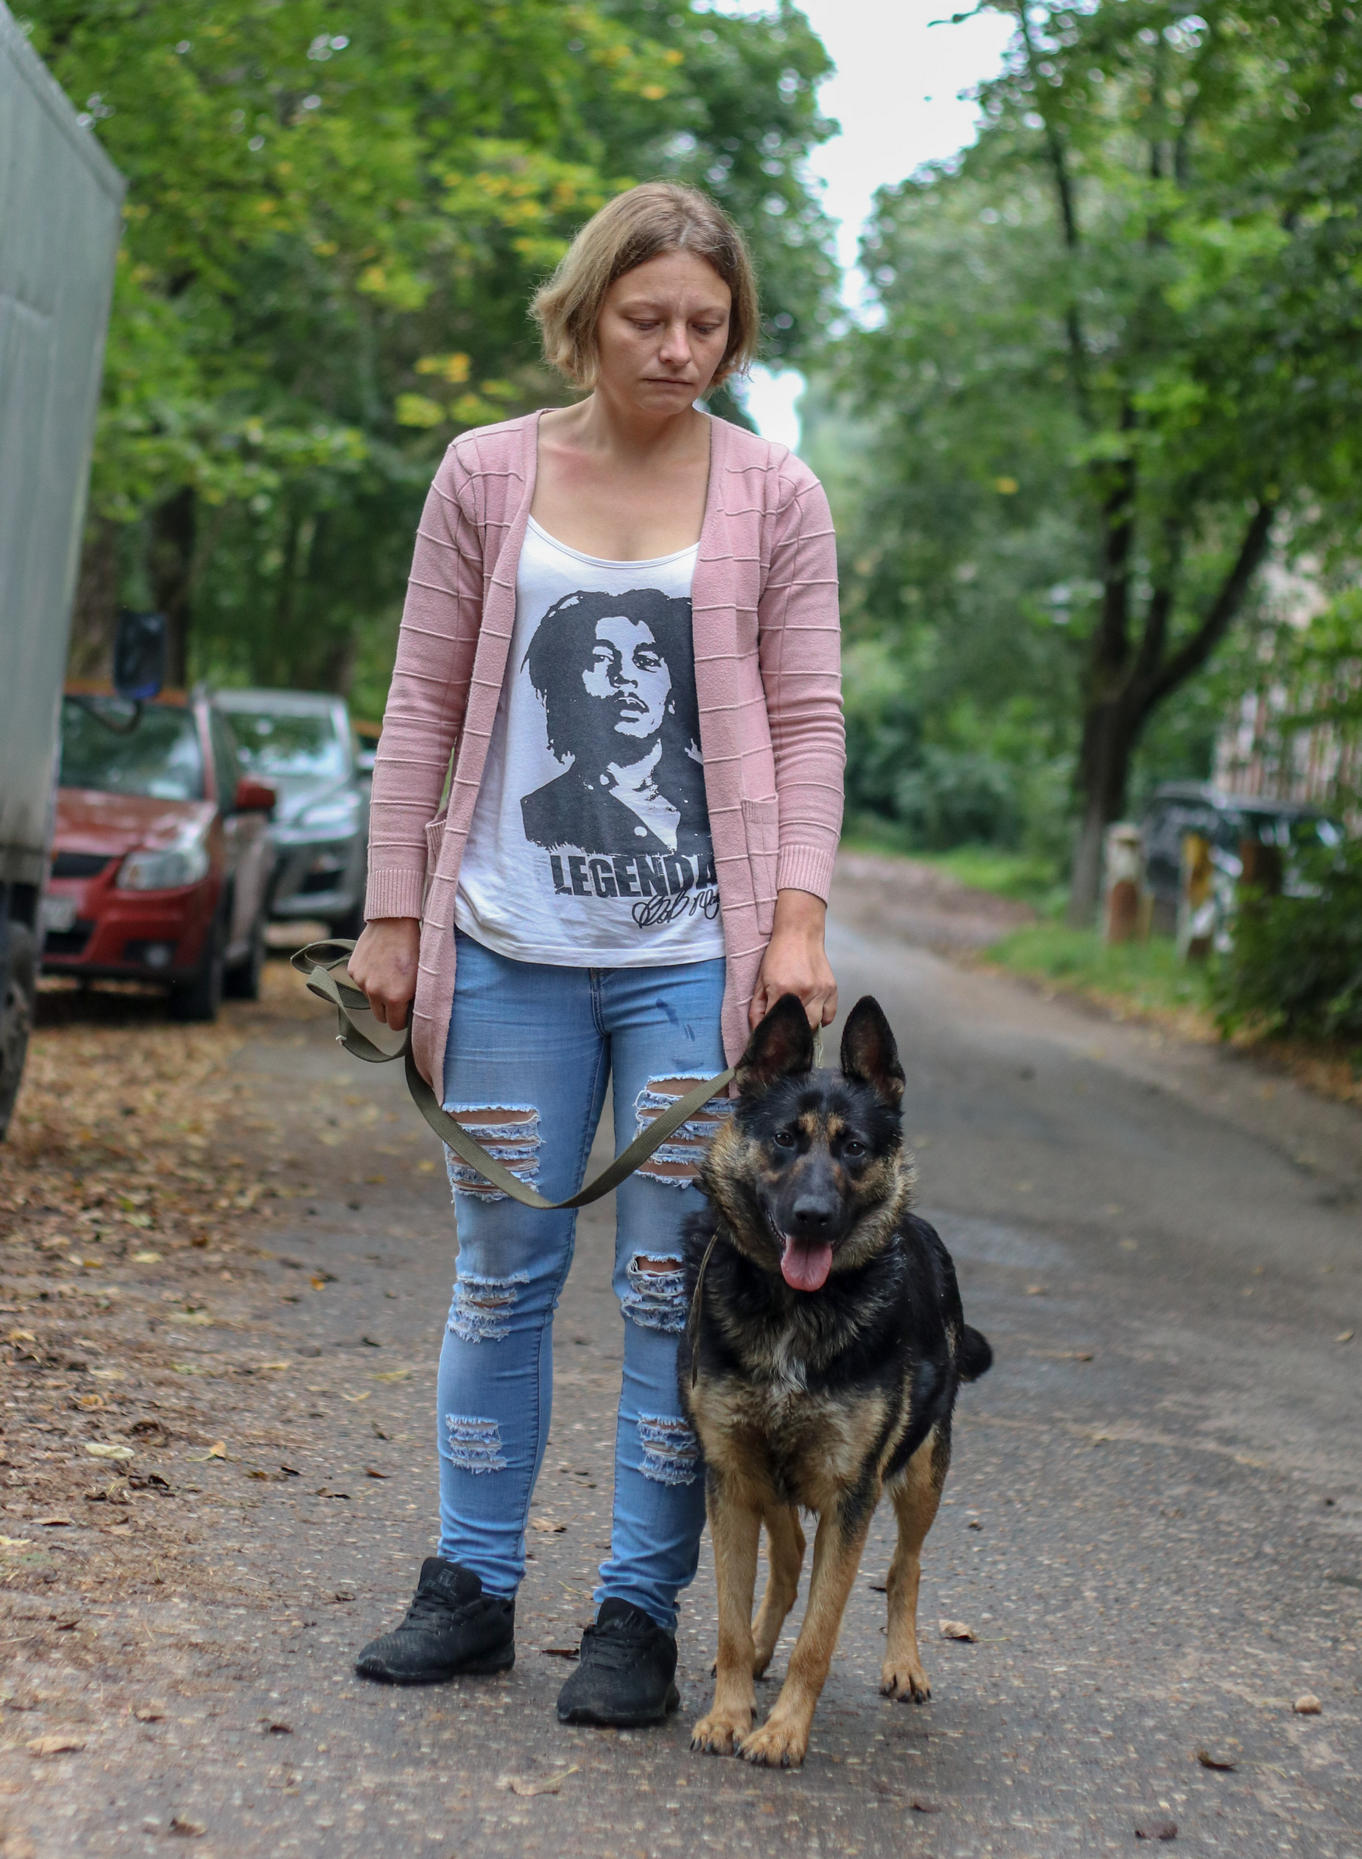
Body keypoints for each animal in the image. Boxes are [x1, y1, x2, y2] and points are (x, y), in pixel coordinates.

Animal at [679, 991, 992, 1769]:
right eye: (784, 1140)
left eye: (853, 1148)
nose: (813, 1219)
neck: (798, 1310)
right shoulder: (731, 1475)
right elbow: (731, 1619)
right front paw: (729, 1712)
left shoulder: (852, 1494)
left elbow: (818, 1639)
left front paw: (783, 1731)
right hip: (770, 1480)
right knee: (789, 1559)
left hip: (921, 1475)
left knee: (905, 1568)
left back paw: (903, 1663)